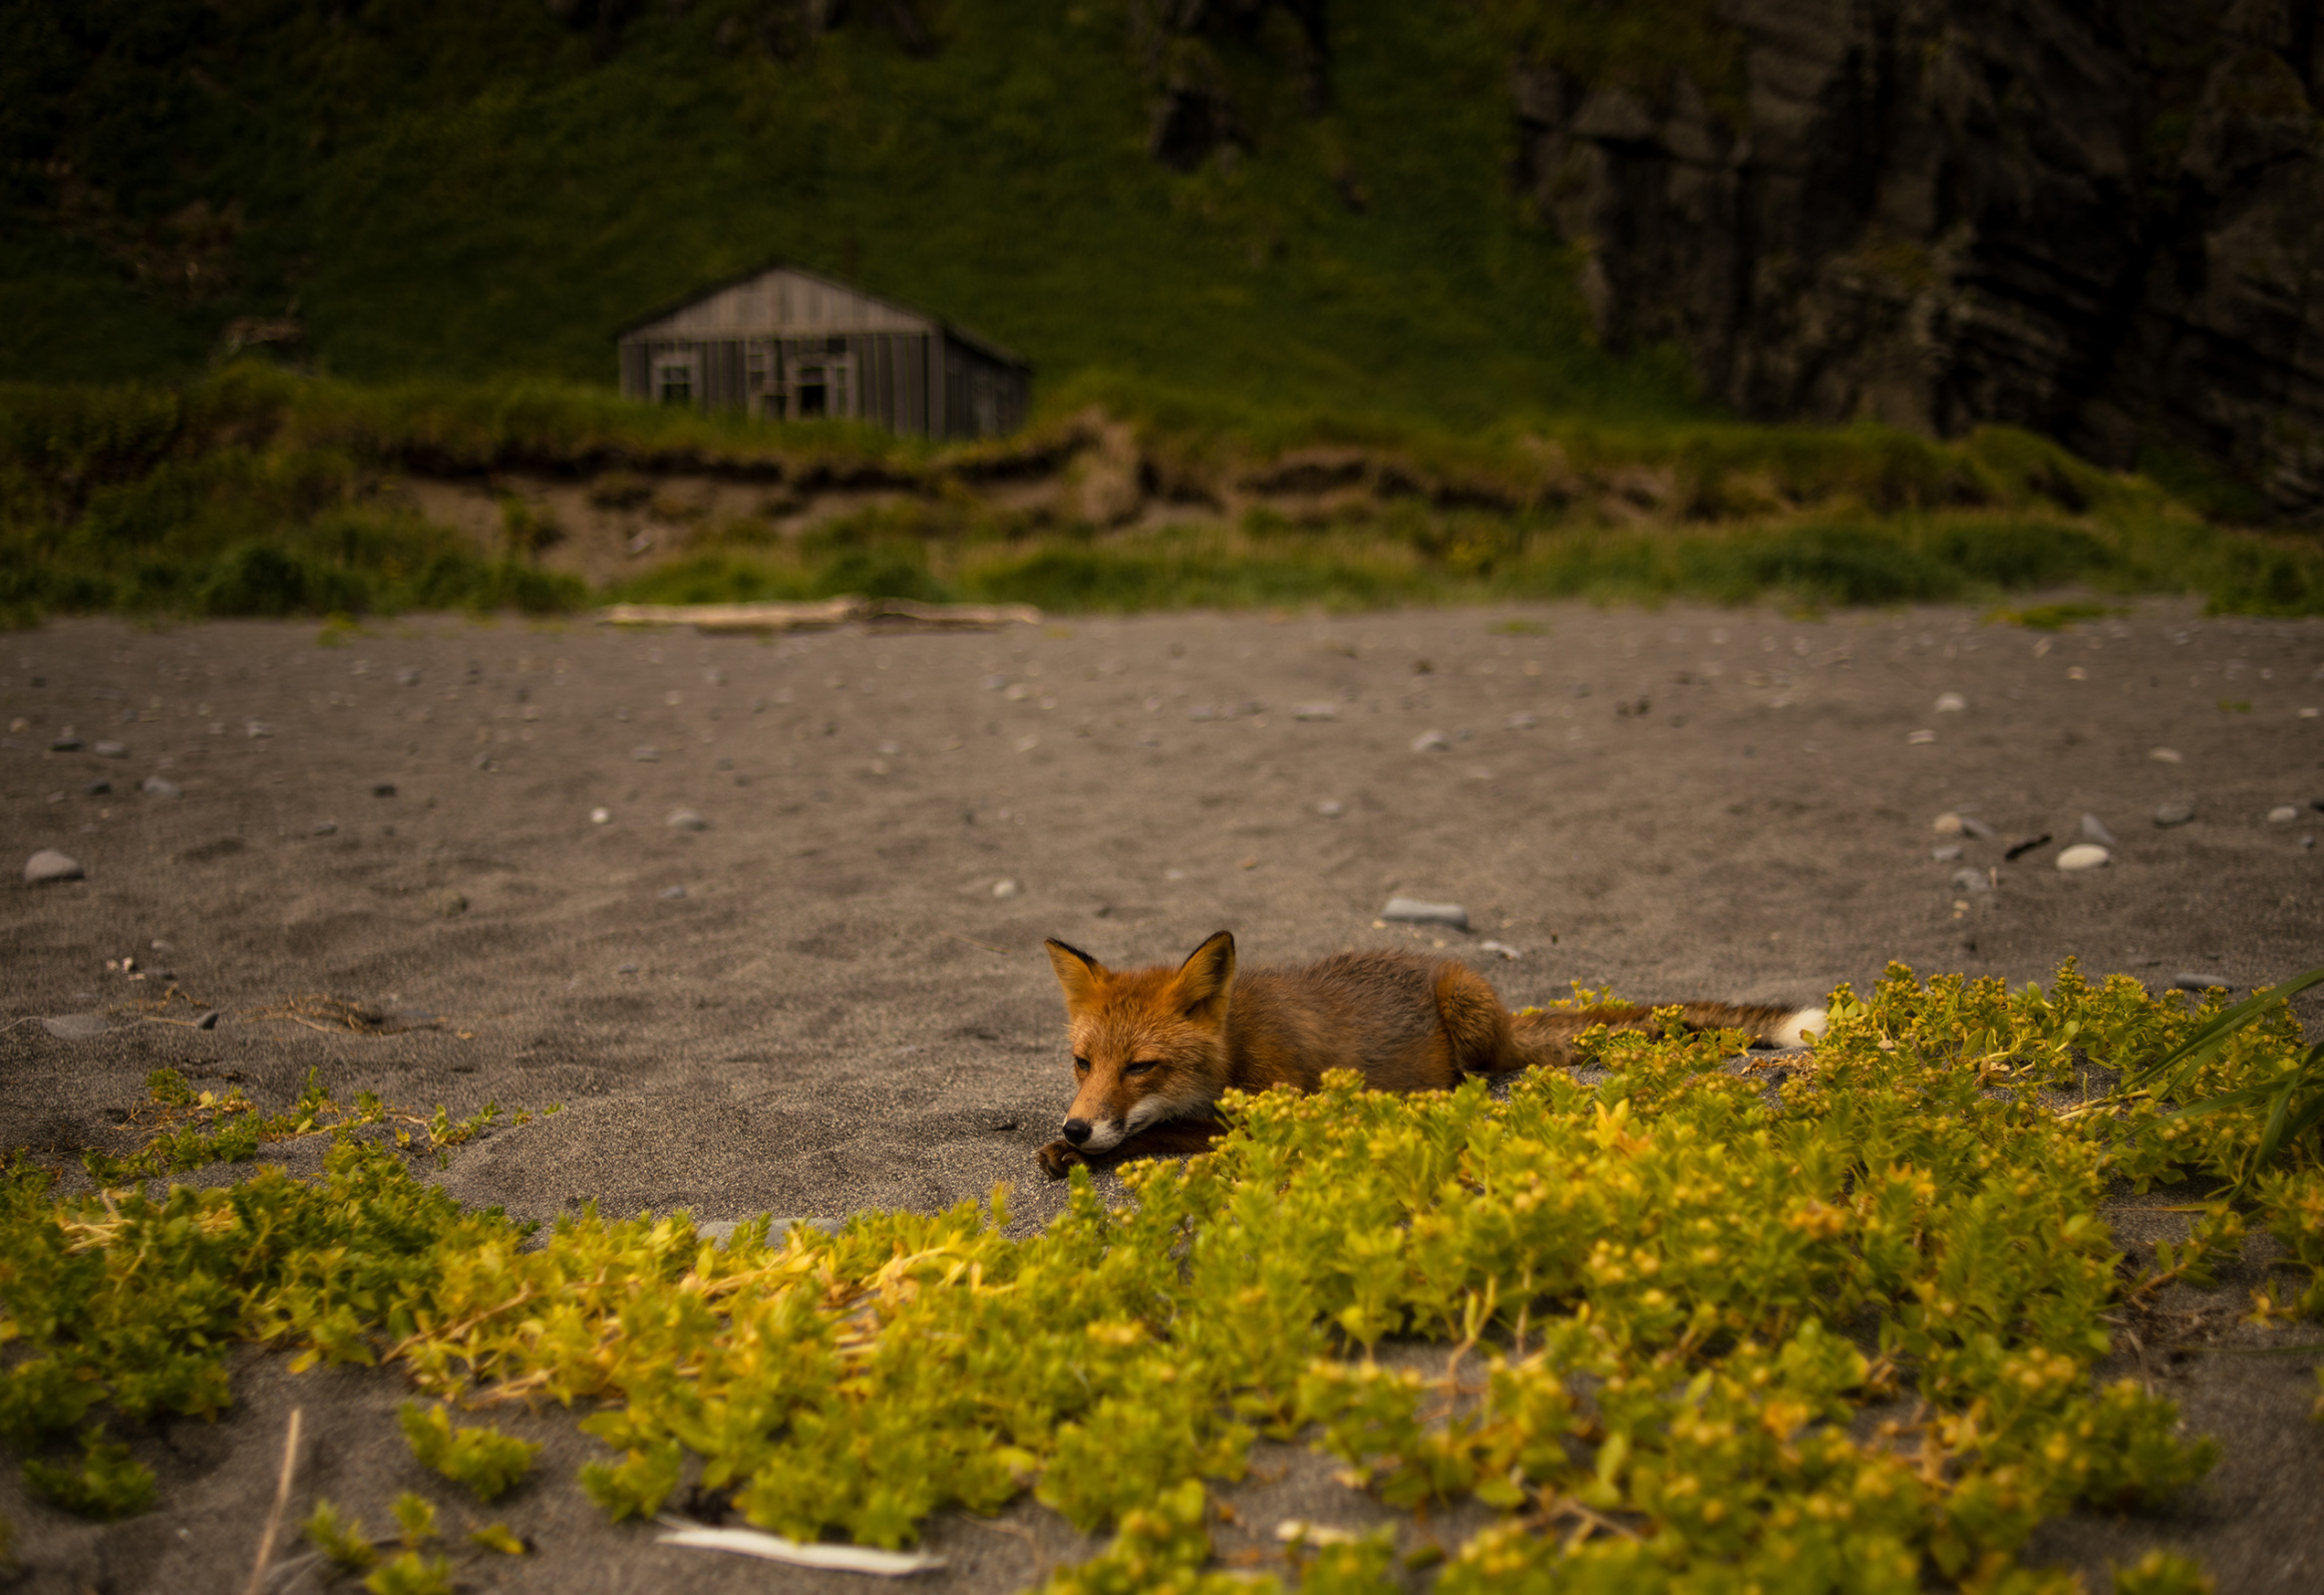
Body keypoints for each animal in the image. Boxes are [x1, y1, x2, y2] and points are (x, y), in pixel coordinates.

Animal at [1045, 929, 1822, 1180]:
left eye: (1141, 1066)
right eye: (1084, 1063)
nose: (1077, 1127)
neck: (1235, 1049)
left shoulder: (1278, 1114)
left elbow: (1170, 1128)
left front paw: (1088, 1151)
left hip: (1465, 1013)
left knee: (1488, 1074)